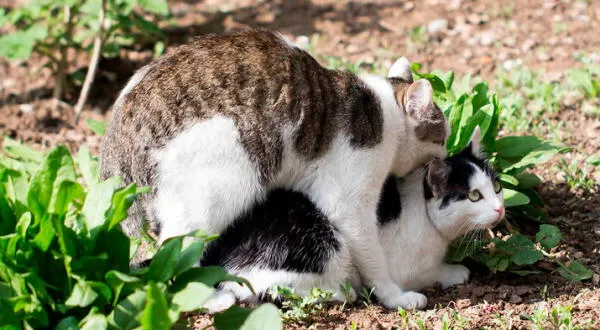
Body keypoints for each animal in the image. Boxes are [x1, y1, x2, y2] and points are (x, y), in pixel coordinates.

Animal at [101, 29, 448, 310]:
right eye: (443, 137)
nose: (446, 156)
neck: (383, 111)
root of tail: (116, 140)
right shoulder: (349, 204)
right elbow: (375, 260)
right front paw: (396, 296)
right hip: (224, 178)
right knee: (173, 255)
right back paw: (209, 298)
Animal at [200, 128, 502, 312]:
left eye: (497, 187)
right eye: (474, 196)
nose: (500, 209)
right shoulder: (402, 268)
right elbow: (427, 273)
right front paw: (454, 271)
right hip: (325, 244)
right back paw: (341, 292)